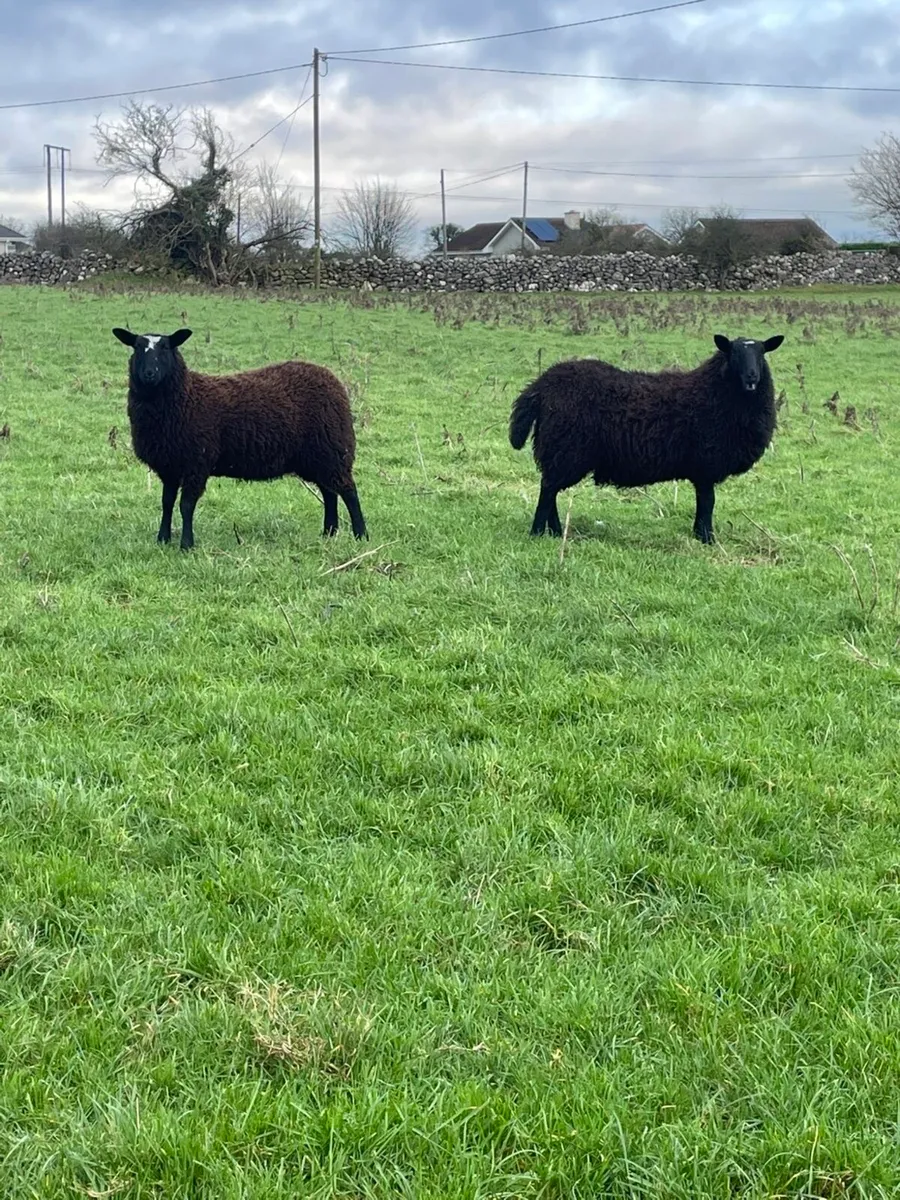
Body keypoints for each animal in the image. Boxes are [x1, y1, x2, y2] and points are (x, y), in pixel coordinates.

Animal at [111, 327, 368, 550]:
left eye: (165, 348)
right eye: (137, 347)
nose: (149, 374)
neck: (186, 398)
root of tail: (331, 378)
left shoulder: (197, 462)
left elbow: (186, 506)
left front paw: (186, 545)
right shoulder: (169, 466)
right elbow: (166, 503)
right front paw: (162, 539)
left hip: (333, 449)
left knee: (348, 491)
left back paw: (360, 535)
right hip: (316, 457)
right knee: (329, 492)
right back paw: (329, 532)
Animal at [509, 333, 785, 544]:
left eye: (761, 354)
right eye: (733, 354)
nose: (751, 377)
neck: (713, 392)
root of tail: (540, 386)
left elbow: (704, 503)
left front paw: (700, 535)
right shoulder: (706, 465)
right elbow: (708, 503)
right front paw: (707, 539)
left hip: (559, 450)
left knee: (551, 489)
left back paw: (555, 531)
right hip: (566, 447)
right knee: (548, 489)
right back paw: (537, 532)